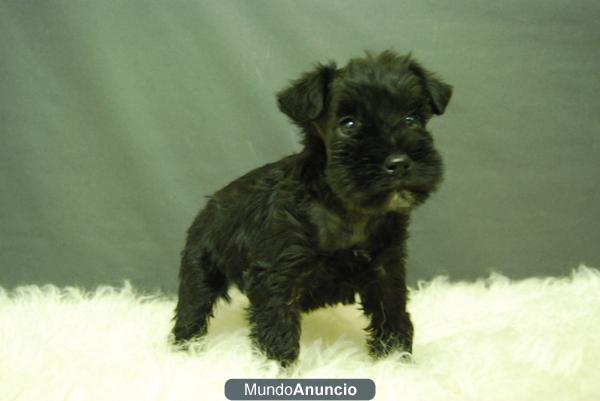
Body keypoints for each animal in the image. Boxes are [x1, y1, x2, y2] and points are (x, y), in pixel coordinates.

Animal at [171, 50, 452, 366]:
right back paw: (185, 348)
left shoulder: (385, 270)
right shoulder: (278, 275)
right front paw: (278, 367)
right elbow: (277, 327)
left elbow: (392, 315)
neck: (347, 209)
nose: (399, 163)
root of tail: (211, 203)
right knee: (192, 308)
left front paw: (395, 360)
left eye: (412, 118)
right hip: (201, 270)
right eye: (348, 124)